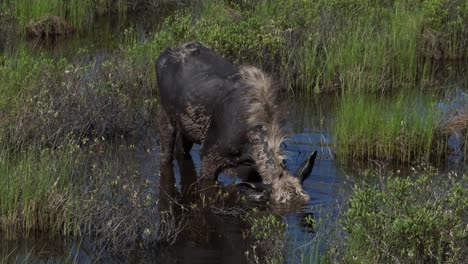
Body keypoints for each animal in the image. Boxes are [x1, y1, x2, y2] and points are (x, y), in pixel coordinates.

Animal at [155, 41, 316, 202]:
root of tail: (163, 55)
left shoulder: (250, 169)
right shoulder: (208, 154)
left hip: (186, 129)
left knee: (181, 151)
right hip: (165, 116)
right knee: (166, 156)